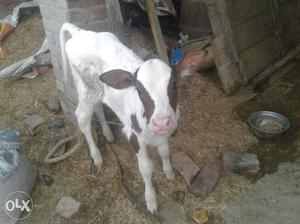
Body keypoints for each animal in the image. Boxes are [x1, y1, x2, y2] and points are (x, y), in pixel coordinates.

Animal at [59, 23, 179, 215]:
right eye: (139, 90)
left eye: (174, 84)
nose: (161, 122)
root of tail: (79, 33)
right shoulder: (133, 136)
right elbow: (146, 169)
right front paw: (151, 200)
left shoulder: (165, 132)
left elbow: (165, 152)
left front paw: (169, 173)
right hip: (86, 91)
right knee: (83, 119)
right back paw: (96, 156)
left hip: (99, 90)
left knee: (99, 107)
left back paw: (108, 134)